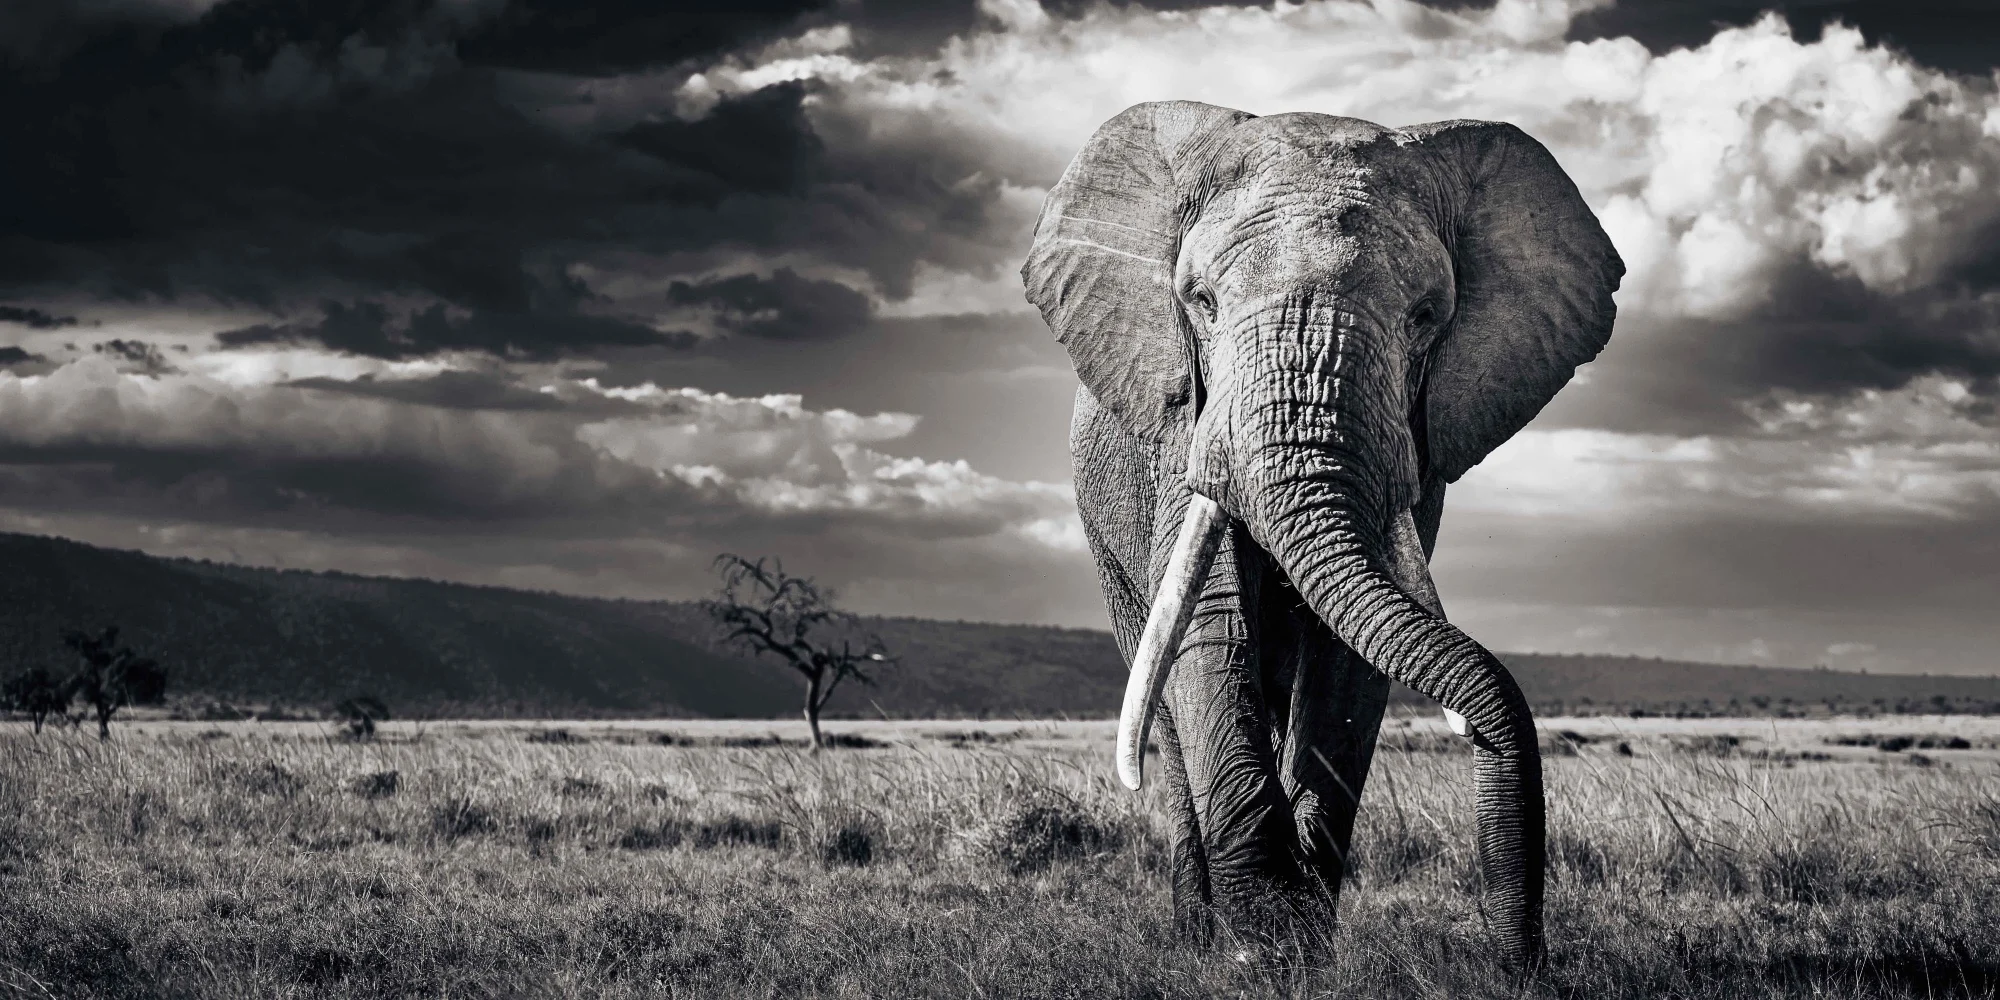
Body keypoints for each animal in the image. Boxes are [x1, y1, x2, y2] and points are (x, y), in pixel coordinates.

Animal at [1021, 102, 1622, 968]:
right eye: (1200, 301)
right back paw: (1194, 935)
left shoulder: (1420, 444)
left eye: (1426, 317)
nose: (1522, 962)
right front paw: (1265, 948)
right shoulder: (1183, 428)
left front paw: (1299, 941)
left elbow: (1350, 657)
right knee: (1161, 702)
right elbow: (1210, 630)